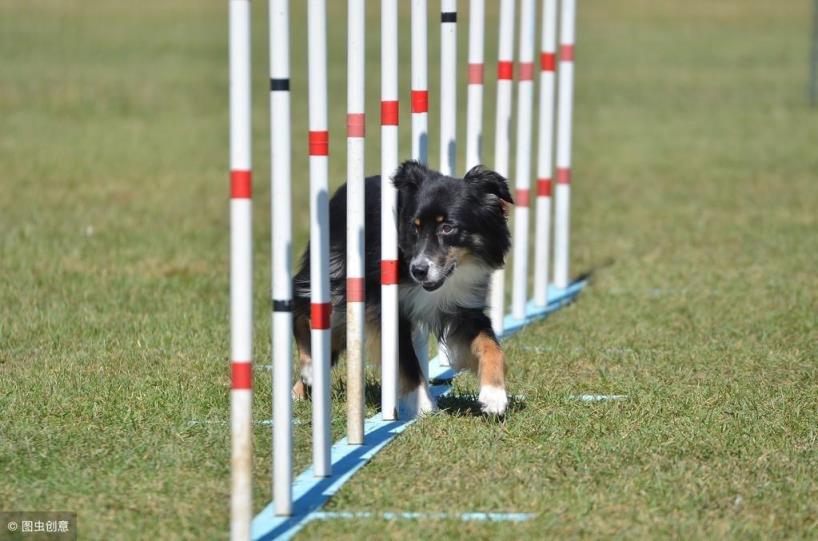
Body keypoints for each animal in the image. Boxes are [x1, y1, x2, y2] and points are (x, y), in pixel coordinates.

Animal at [290, 159, 512, 414]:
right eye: (415, 227)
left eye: (447, 227)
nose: (418, 270)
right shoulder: (387, 307)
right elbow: (406, 359)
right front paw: (423, 404)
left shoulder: (465, 307)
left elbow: (490, 344)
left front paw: (494, 395)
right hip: (334, 275)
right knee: (301, 309)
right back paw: (309, 370)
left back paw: (302, 388)